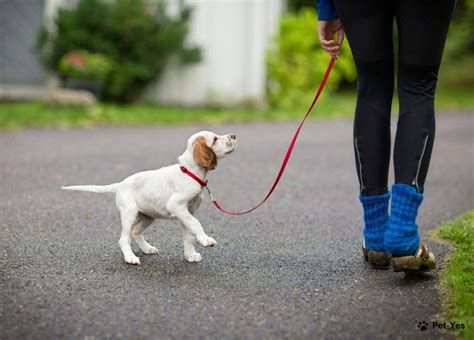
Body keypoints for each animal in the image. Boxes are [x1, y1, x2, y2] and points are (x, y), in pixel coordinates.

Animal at [63, 131, 237, 264]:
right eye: (215, 139)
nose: (234, 135)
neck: (190, 172)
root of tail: (120, 184)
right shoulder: (176, 205)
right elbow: (196, 224)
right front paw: (206, 240)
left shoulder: (187, 212)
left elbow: (189, 234)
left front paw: (190, 255)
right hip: (129, 213)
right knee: (124, 238)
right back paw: (130, 258)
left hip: (148, 215)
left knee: (135, 232)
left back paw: (147, 248)